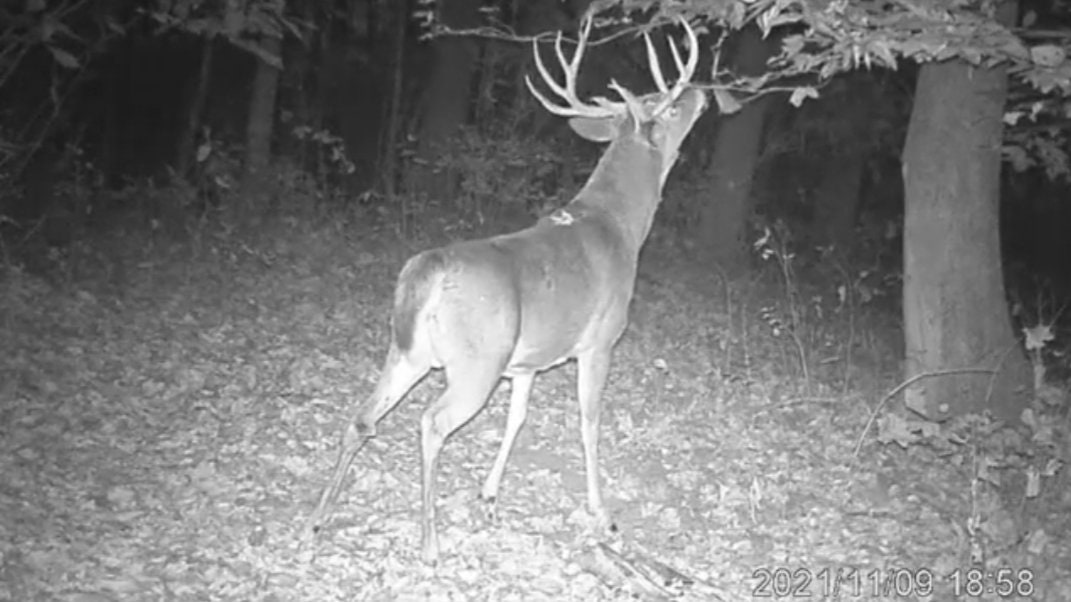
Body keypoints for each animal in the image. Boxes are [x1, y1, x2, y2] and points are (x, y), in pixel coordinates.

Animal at [305, 14, 705, 564]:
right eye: (668, 103)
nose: (703, 92)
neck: (622, 226)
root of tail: (429, 269)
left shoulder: (529, 361)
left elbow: (517, 419)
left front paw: (490, 495)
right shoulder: (600, 342)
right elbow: (589, 422)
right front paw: (602, 514)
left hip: (407, 351)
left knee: (362, 415)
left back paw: (318, 519)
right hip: (477, 362)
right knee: (430, 423)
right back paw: (429, 544)